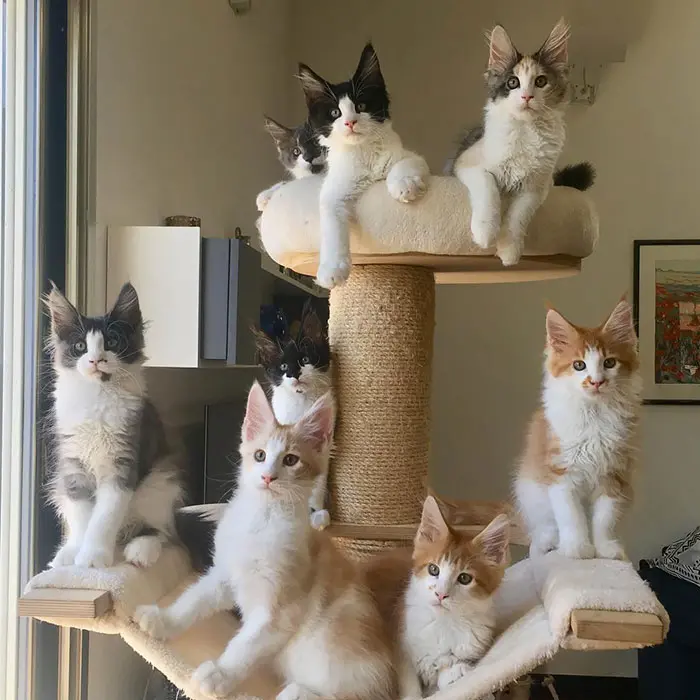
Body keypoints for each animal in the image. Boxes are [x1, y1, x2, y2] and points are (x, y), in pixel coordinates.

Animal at [45, 284, 185, 568]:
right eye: (80, 346)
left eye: (111, 343)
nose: (95, 360)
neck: (98, 396)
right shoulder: (73, 468)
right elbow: (83, 517)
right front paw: (78, 554)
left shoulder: (121, 466)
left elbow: (103, 518)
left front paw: (92, 558)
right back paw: (66, 553)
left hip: (161, 480)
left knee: (162, 532)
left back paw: (141, 550)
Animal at [135, 382, 394, 700]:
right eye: (259, 455)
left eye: (291, 460)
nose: (269, 477)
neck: (262, 518)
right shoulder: (225, 574)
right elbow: (194, 599)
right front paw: (164, 619)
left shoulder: (279, 611)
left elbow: (245, 645)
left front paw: (219, 673)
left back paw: (297, 692)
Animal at [254, 302, 336, 532]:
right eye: (283, 367)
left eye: (305, 359)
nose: (295, 374)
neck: (301, 403)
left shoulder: (321, 444)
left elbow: (316, 477)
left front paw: (317, 513)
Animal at [296, 42, 430, 288]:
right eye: (335, 112)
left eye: (361, 105)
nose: (350, 122)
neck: (364, 152)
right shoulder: (334, 190)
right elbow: (331, 225)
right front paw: (331, 269)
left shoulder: (410, 156)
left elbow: (406, 163)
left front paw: (404, 185)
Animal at [512, 298, 644, 560]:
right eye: (579, 365)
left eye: (609, 363)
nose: (596, 382)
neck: (595, 418)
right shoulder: (562, 473)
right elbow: (572, 517)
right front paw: (577, 549)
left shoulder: (614, 476)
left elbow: (604, 520)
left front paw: (604, 549)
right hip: (530, 490)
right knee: (544, 528)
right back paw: (548, 545)